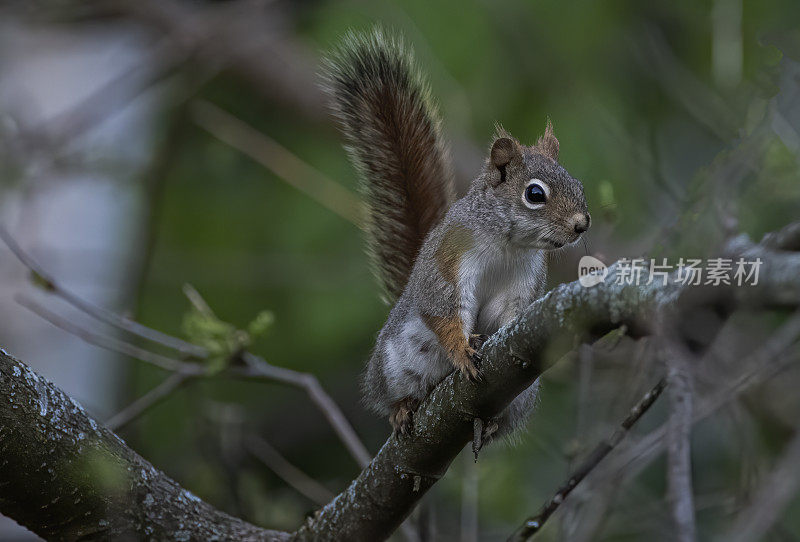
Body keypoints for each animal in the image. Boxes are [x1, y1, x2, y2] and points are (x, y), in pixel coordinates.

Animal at [322, 29, 592, 444]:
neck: (508, 246)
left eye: (576, 184)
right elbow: (446, 310)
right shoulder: (449, 260)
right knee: (394, 393)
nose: (582, 224)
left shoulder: (523, 279)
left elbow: (509, 313)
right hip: (394, 364)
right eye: (535, 194)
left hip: (522, 397)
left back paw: (492, 422)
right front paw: (462, 351)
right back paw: (402, 409)